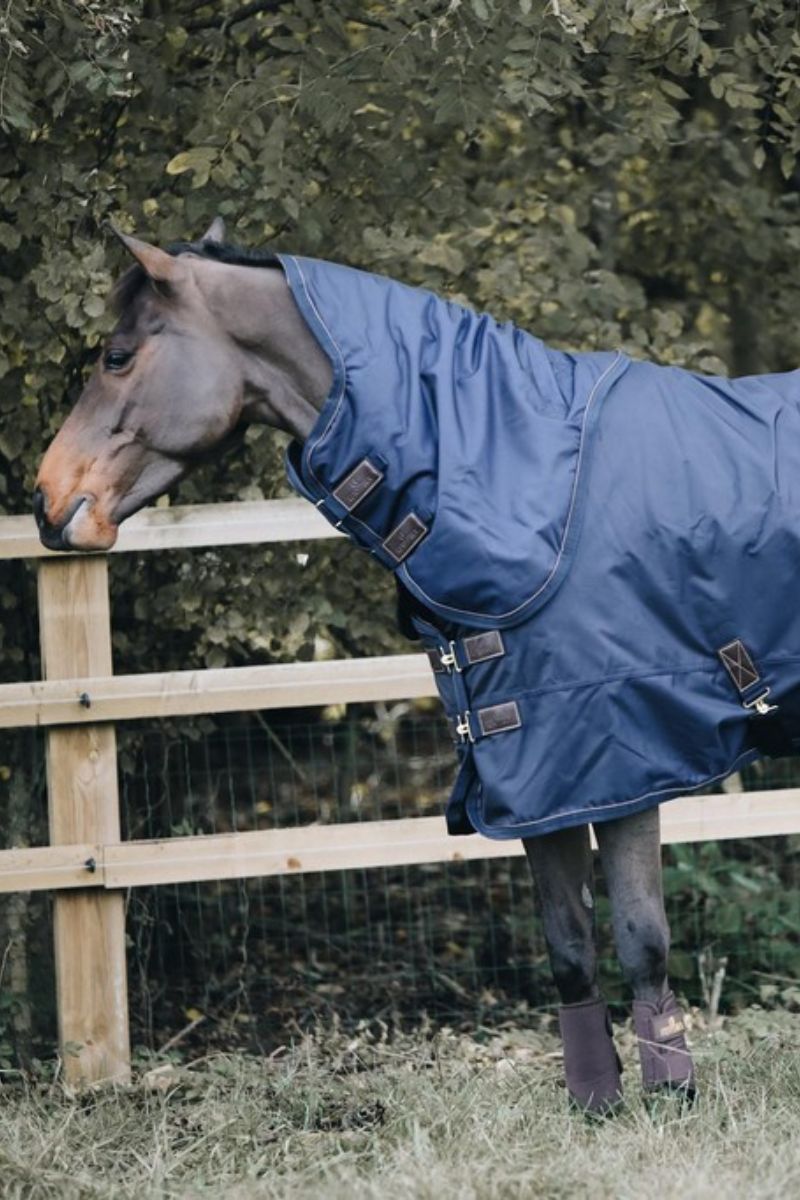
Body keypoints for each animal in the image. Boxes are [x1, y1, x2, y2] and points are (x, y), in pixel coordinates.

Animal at [45, 215, 800, 1113]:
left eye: (118, 356)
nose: (48, 502)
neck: (522, 487)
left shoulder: (617, 764)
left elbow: (641, 940)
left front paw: (673, 1094)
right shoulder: (529, 778)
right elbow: (569, 946)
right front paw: (596, 1102)